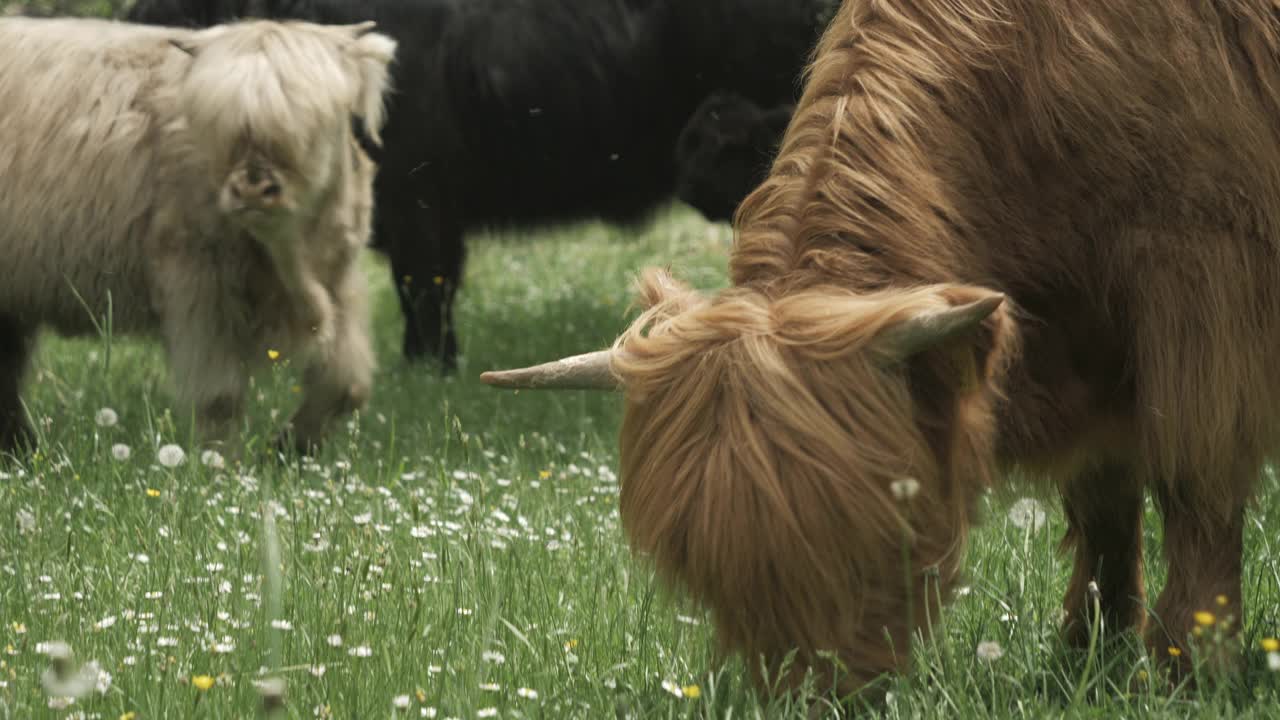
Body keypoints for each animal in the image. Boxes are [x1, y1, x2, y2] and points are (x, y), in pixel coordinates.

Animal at [0, 15, 396, 453]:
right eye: (224, 128)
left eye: (307, 125)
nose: (252, 187)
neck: (289, 258)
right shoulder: (199, 287)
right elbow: (220, 399)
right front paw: (221, 465)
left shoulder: (341, 281)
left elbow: (346, 386)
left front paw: (290, 449)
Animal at [483, 0, 1280, 696]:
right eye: (706, 575)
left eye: (866, 537)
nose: (812, 697)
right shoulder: (1086, 350)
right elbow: (1104, 503)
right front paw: (1090, 657)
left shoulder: (1204, 293)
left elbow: (1196, 485)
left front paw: (1192, 669)